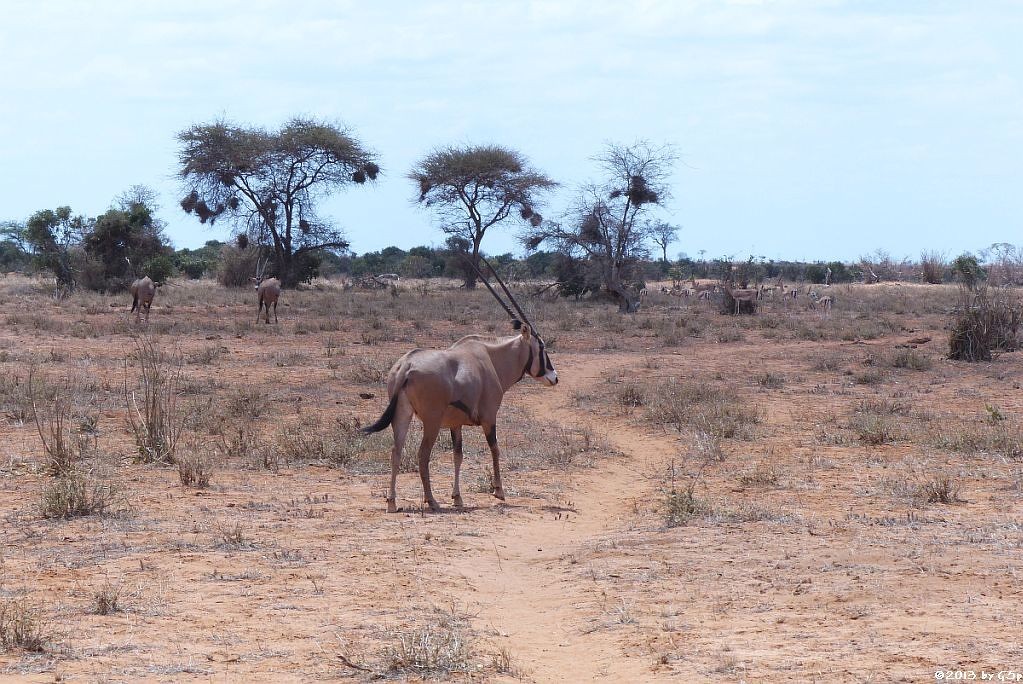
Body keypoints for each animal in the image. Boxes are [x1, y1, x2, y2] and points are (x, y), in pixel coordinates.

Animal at [364, 257, 560, 511]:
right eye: (542, 346)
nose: (554, 377)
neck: (490, 357)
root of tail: (406, 366)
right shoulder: (489, 417)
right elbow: (495, 448)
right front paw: (499, 491)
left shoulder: (455, 424)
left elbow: (458, 456)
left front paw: (457, 497)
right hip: (431, 421)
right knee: (422, 454)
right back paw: (431, 500)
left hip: (403, 415)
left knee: (396, 451)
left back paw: (392, 502)